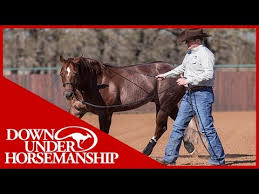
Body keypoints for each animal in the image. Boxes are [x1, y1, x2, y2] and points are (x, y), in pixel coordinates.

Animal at [59, 55, 197, 155]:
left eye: (76, 73)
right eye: (61, 73)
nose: (68, 94)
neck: (98, 83)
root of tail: (180, 74)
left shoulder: (105, 113)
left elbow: (104, 131)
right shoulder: (77, 109)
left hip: (165, 105)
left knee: (161, 127)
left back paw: (146, 151)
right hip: (168, 104)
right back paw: (189, 146)